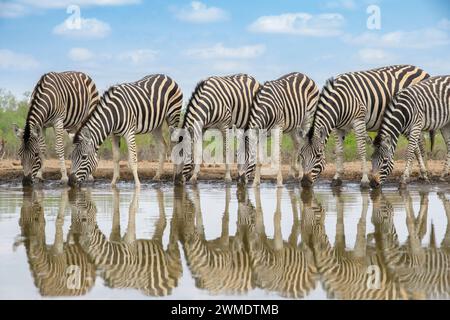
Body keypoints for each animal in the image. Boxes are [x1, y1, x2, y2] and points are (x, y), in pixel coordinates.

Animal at [298, 64, 428, 188]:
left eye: (318, 155)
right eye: (301, 155)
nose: (304, 182)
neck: (339, 102)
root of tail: (418, 68)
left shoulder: (358, 121)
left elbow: (361, 150)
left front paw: (364, 180)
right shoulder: (338, 127)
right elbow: (339, 151)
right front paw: (337, 177)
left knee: (418, 145)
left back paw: (422, 173)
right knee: (416, 146)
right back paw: (414, 173)